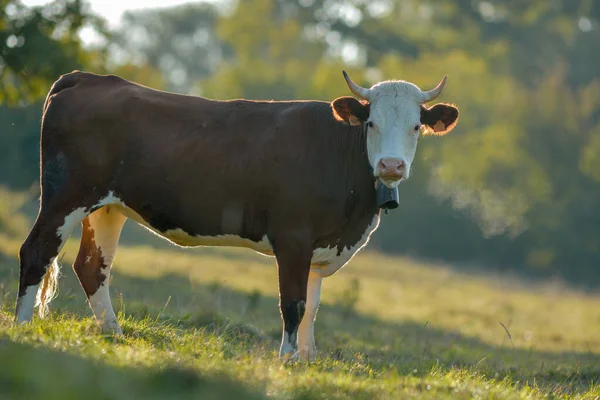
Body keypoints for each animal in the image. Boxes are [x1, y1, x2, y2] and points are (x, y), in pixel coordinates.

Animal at [14, 70, 460, 360]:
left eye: (417, 126)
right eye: (371, 123)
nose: (391, 165)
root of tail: (87, 77)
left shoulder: (320, 246)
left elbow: (313, 306)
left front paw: (308, 359)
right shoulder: (293, 237)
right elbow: (293, 303)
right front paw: (287, 358)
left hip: (108, 207)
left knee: (93, 267)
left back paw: (113, 333)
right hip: (65, 196)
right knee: (36, 252)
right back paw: (21, 327)